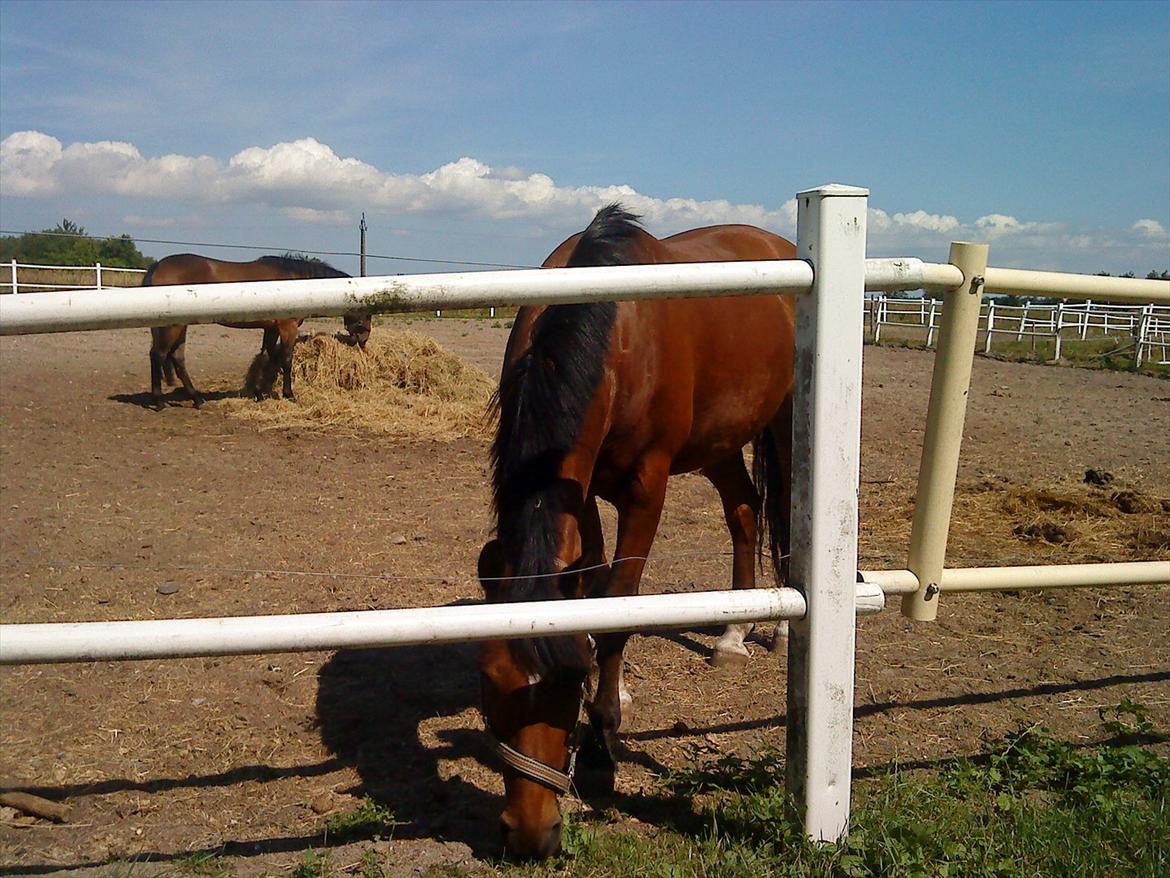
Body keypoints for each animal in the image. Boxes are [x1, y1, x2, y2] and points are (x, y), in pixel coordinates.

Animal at [143, 254, 370, 409]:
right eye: (366, 309)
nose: (363, 339)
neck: (295, 284)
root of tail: (158, 266)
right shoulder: (287, 327)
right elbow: (286, 359)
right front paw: (289, 394)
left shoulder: (271, 328)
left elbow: (269, 357)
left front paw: (259, 394)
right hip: (172, 326)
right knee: (159, 355)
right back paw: (159, 401)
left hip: (180, 326)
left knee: (177, 358)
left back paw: (197, 399)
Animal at [477, 204, 798, 858]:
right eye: (490, 680)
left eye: (569, 682)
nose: (530, 834)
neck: (613, 327)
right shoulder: (583, 492)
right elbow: (593, 590)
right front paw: (617, 693)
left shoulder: (645, 492)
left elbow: (618, 607)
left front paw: (604, 741)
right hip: (718, 440)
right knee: (744, 512)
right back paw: (732, 635)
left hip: (784, 422)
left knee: (784, 514)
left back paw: (777, 629)